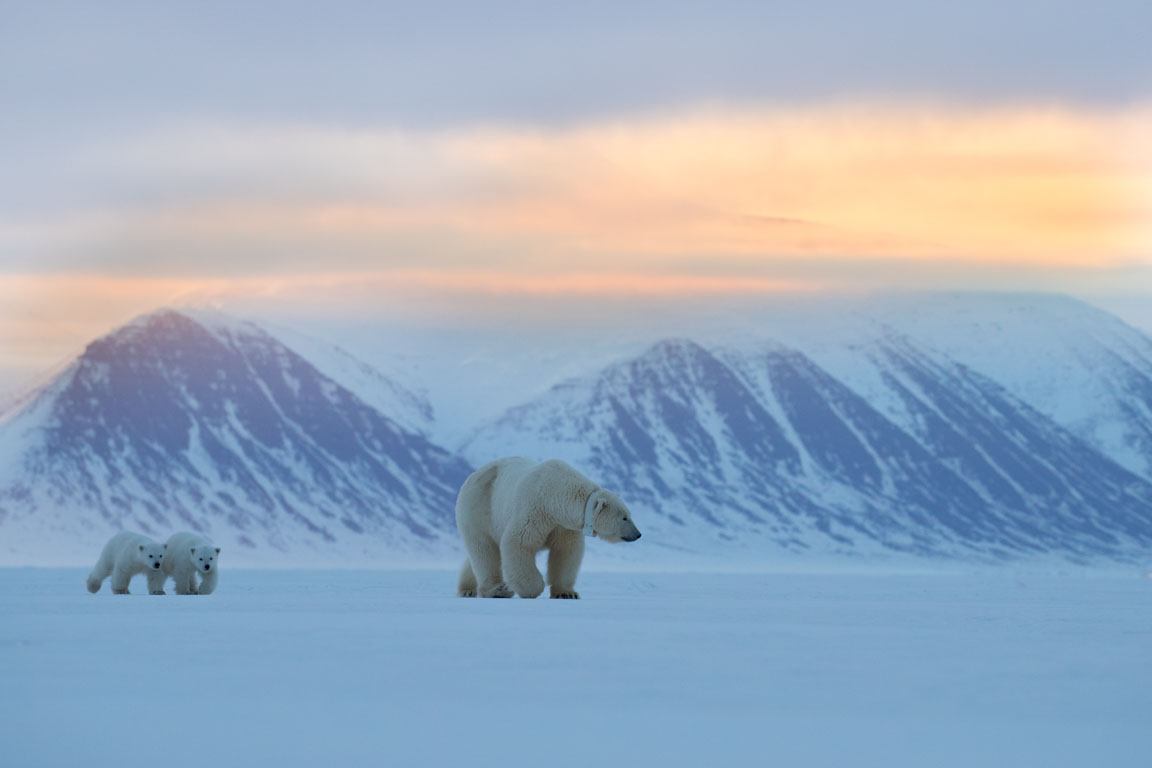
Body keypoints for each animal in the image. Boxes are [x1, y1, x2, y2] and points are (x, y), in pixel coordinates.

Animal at [456, 455, 640, 598]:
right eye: (625, 517)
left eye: (629, 515)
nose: (638, 534)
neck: (555, 496)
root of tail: (471, 476)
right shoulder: (534, 510)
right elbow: (518, 543)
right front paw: (533, 588)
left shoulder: (563, 525)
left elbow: (566, 551)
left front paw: (567, 593)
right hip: (479, 506)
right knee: (484, 549)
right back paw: (497, 589)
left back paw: (468, 588)